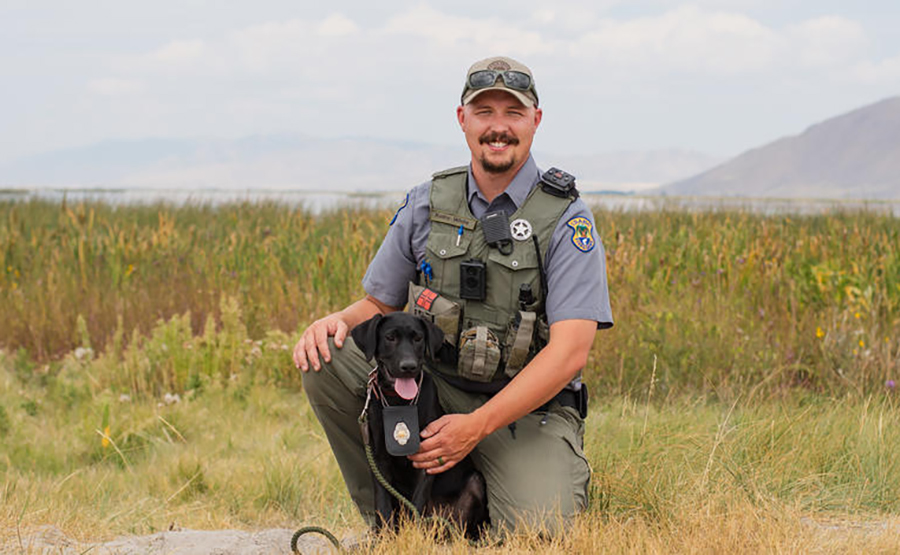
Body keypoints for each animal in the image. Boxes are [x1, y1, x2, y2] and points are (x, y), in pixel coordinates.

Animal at [354, 312, 492, 540]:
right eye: (390, 337)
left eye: (418, 338)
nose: (409, 366)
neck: (399, 402)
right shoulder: (378, 458)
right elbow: (382, 505)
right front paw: (385, 539)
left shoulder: (428, 458)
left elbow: (416, 505)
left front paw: (411, 537)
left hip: (474, 484)